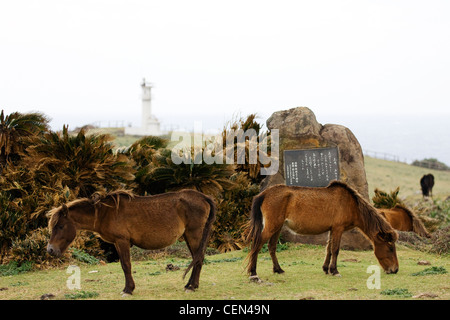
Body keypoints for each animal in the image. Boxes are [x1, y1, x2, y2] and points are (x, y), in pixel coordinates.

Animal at [46, 189, 215, 296]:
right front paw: (129, 288)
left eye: (60, 226)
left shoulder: (122, 241)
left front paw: (128, 290)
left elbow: (126, 265)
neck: (105, 213)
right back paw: (191, 285)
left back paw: (191, 287)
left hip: (194, 234)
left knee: (198, 259)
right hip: (189, 235)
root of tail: (203, 197)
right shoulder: (117, 243)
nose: (50, 250)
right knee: (197, 258)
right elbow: (123, 265)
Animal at [246, 181, 398, 282]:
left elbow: (329, 249)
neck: (352, 204)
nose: (395, 270)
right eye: (390, 248)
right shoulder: (338, 229)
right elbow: (335, 249)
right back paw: (254, 274)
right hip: (272, 226)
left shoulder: (332, 230)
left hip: (277, 227)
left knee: (271, 246)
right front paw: (335, 271)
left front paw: (326, 269)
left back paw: (278, 269)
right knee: (257, 245)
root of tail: (265, 193)